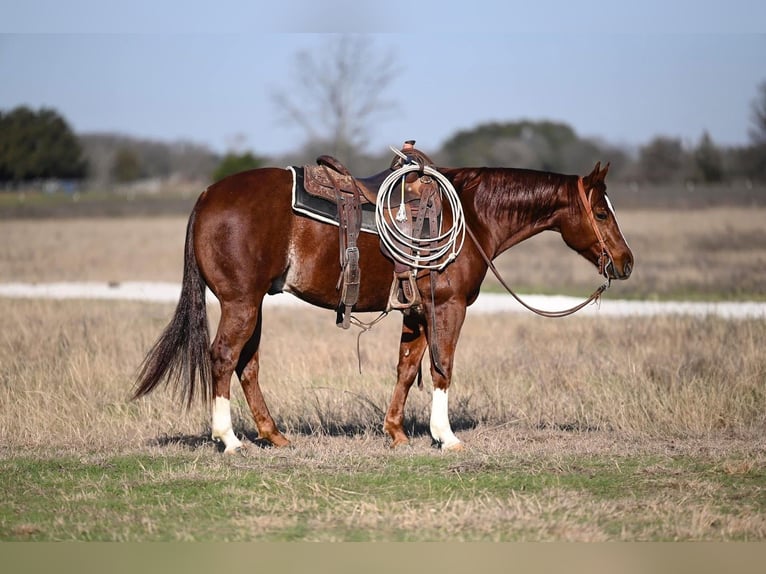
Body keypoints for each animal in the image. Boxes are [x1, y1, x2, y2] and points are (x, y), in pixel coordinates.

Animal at [132, 160, 633, 452]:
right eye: (601, 213)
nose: (626, 262)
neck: (470, 215)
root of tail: (207, 195)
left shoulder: (416, 311)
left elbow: (407, 368)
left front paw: (396, 432)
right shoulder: (448, 307)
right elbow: (442, 368)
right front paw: (446, 436)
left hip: (252, 304)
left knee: (246, 365)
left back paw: (273, 435)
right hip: (241, 302)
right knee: (223, 358)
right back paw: (230, 440)